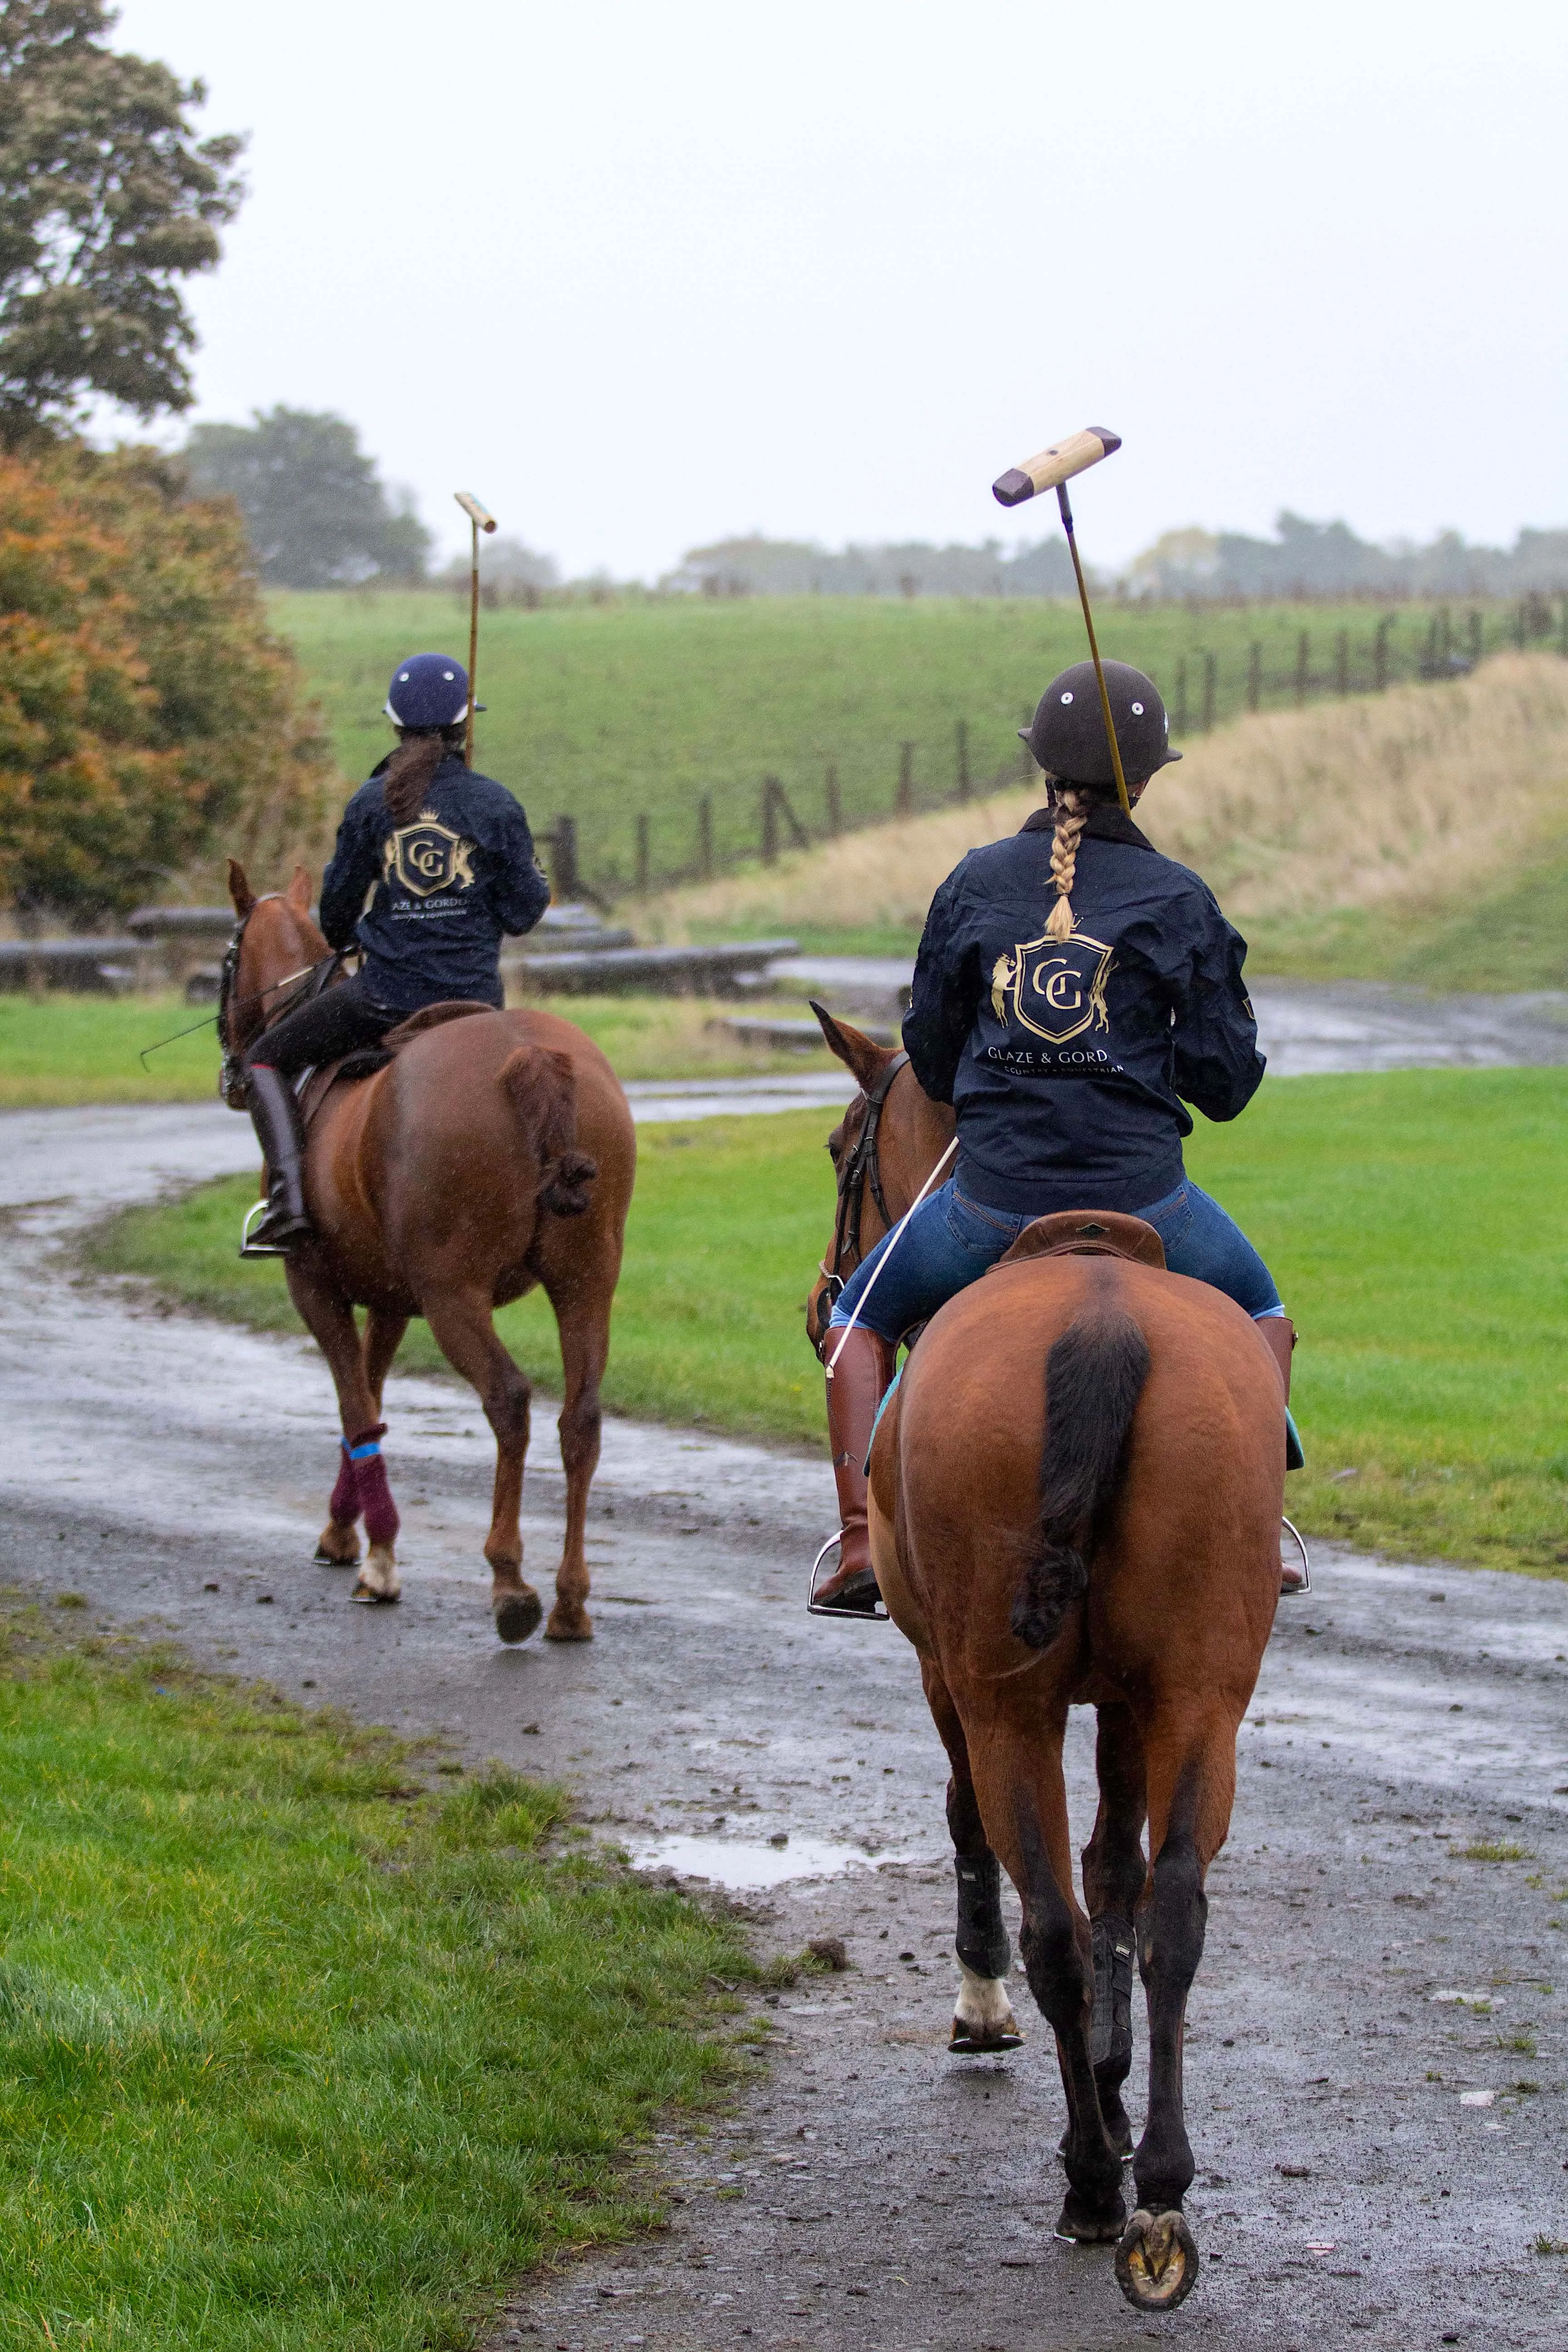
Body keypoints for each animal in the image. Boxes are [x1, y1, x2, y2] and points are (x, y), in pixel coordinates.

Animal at [222, 856, 639, 1646]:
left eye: (227, 960)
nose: (231, 1069)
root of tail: (528, 1055)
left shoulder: (315, 1285)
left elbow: (356, 1407)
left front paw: (378, 1558)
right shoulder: (391, 1299)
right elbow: (371, 1397)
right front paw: (344, 1532)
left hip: (456, 1297)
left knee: (509, 1402)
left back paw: (510, 1583)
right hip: (585, 1285)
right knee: (581, 1421)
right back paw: (570, 1603)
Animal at [808, 1006, 1288, 2314]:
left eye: (841, 1151)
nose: (824, 1304)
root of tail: (1101, 1317)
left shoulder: (947, 1678)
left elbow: (979, 1829)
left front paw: (988, 2019)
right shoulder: (1131, 1700)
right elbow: (1119, 1870)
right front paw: (1119, 2091)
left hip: (1004, 1702)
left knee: (1053, 1927)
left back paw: (1089, 2187)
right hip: (1201, 1697)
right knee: (1171, 1907)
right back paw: (1158, 2192)